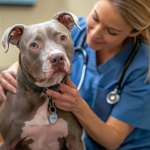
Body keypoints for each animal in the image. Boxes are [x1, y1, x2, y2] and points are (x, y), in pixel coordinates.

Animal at [0, 11, 85, 149]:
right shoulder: (7, 143)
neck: (45, 92)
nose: (57, 58)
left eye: (62, 38)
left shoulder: (75, 140)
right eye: (34, 45)